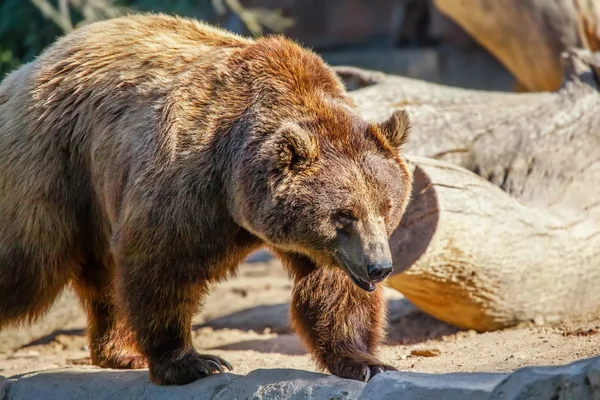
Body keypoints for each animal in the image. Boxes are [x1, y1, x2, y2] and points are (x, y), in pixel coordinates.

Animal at [0, 14, 412, 386]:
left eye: (386, 207)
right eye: (344, 214)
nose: (379, 267)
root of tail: (31, 66)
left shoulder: (323, 247)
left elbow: (335, 289)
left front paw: (366, 362)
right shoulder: (188, 178)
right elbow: (161, 263)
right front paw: (193, 362)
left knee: (102, 276)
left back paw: (121, 351)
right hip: (54, 164)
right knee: (28, 267)